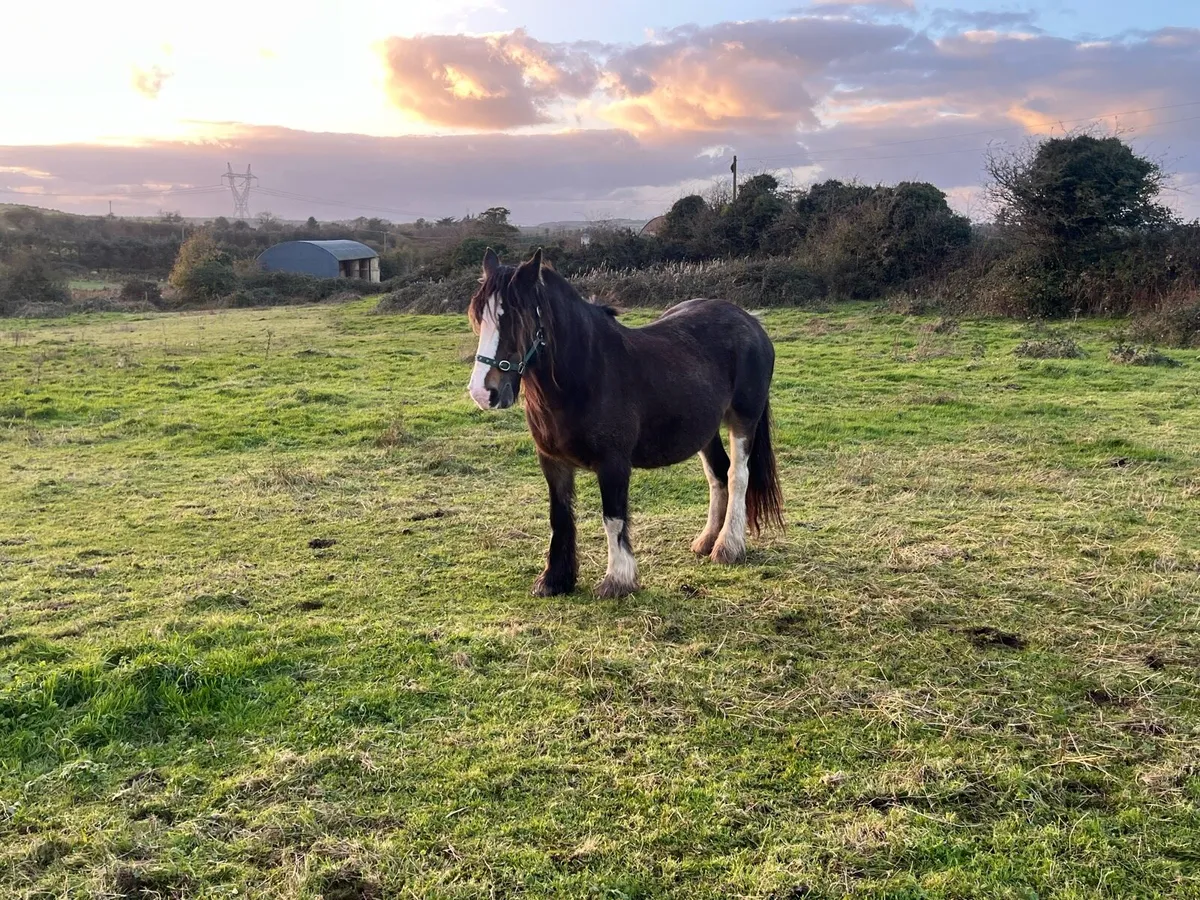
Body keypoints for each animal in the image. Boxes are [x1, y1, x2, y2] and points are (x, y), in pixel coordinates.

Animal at [466, 247, 782, 598]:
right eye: (479, 318)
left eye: (514, 318)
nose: (483, 392)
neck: (586, 375)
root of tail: (750, 321)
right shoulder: (552, 461)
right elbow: (559, 515)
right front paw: (555, 580)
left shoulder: (614, 462)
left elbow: (613, 517)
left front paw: (618, 580)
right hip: (706, 429)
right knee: (717, 474)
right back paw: (706, 541)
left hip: (744, 419)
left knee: (737, 474)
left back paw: (728, 547)